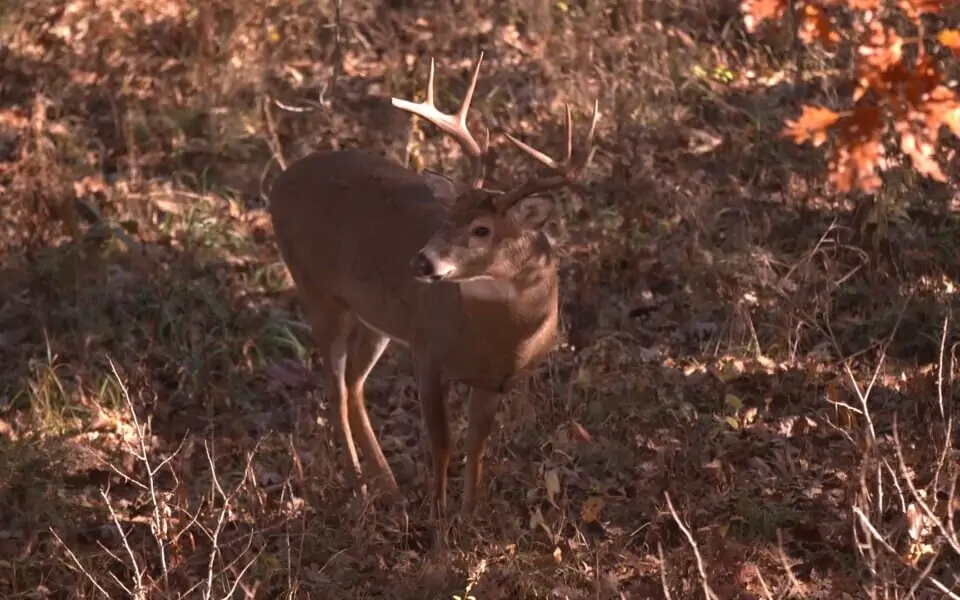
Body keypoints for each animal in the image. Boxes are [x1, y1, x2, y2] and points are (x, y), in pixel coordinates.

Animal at [270, 52, 596, 520]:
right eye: (447, 216)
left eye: (481, 229)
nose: (421, 261)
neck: (502, 340)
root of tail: (278, 183)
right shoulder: (428, 354)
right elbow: (442, 443)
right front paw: (438, 516)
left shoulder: (494, 380)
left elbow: (477, 446)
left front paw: (470, 515)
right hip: (317, 291)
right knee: (333, 385)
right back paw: (360, 488)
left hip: (376, 318)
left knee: (353, 383)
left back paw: (389, 487)